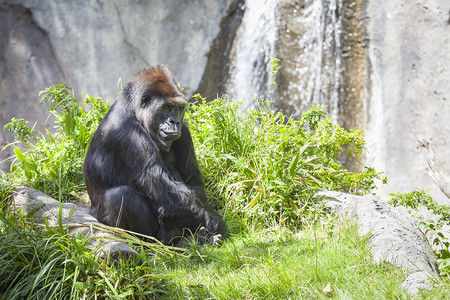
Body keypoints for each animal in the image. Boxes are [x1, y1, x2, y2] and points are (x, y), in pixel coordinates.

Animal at [82, 65, 225, 244]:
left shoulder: (184, 131)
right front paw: (215, 223)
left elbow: (193, 183)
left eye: (178, 108)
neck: (134, 110)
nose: (174, 122)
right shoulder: (130, 137)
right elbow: (168, 198)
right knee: (121, 196)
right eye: (167, 107)